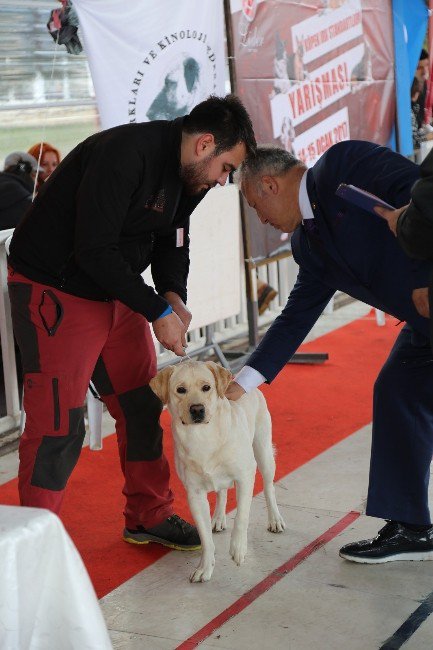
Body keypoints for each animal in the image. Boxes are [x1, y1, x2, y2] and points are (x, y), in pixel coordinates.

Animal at [150, 360, 286, 584]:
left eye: (207, 387)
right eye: (180, 390)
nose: (197, 409)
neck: (202, 437)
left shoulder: (245, 476)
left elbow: (241, 517)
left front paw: (238, 549)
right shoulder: (194, 494)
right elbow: (205, 538)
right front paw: (204, 568)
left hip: (263, 452)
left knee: (268, 488)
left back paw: (275, 520)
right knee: (221, 492)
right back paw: (218, 519)